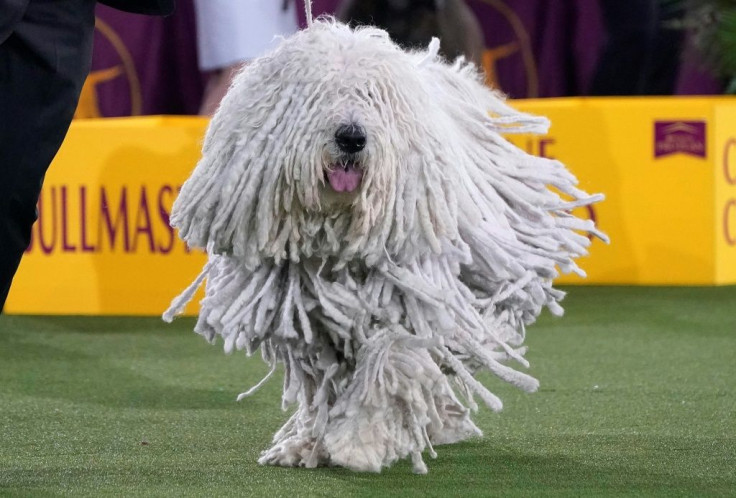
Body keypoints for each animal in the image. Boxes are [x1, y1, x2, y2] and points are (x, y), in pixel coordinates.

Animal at [164, 9, 608, 472]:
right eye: (319, 95)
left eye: (371, 95)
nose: (352, 137)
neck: (336, 230)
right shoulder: (307, 314)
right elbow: (322, 376)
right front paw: (311, 442)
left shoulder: (409, 293)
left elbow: (389, 356)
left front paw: (360, 441)